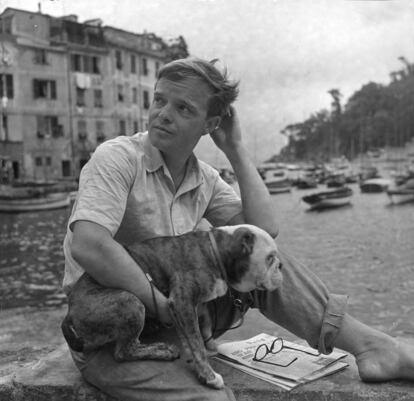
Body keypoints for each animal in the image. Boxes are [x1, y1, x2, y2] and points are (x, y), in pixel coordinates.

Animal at [61, 223, 284, 386]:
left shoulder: (198, 307)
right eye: (269, 258)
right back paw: (161, 352)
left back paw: (159, 346)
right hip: (130, 301)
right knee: (123, 351)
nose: (280, 265)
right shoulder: (182, 303)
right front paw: (209, 376)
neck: (216, 251)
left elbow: (202, 331)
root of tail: (69, 315)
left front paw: (210, 347)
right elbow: (196, 343)